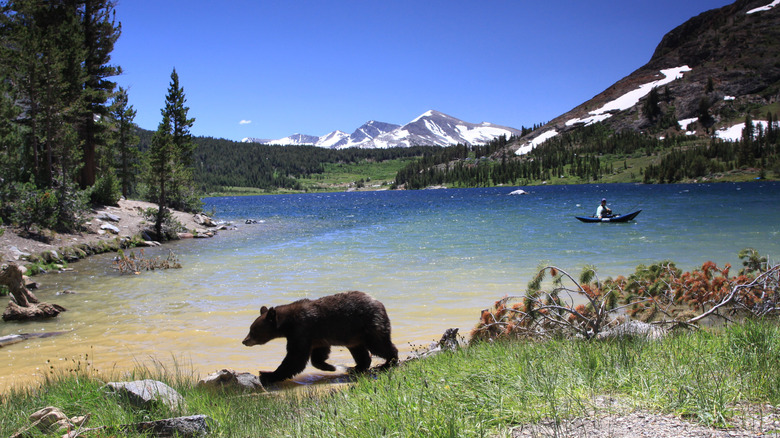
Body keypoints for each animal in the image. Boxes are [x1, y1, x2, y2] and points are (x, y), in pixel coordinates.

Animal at [242, 292, 402, 384]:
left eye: (253, 330)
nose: (244, 341)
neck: (287, 323)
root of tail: (380, 303)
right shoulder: (316, 336)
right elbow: (317, 354)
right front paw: (330, 366)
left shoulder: (301, 330)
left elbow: (295, 357)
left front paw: (268, 374)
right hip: (354, 335)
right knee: (360, 351)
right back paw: (355, 368)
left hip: (369, 324)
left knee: (379, 345)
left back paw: (387, 363)